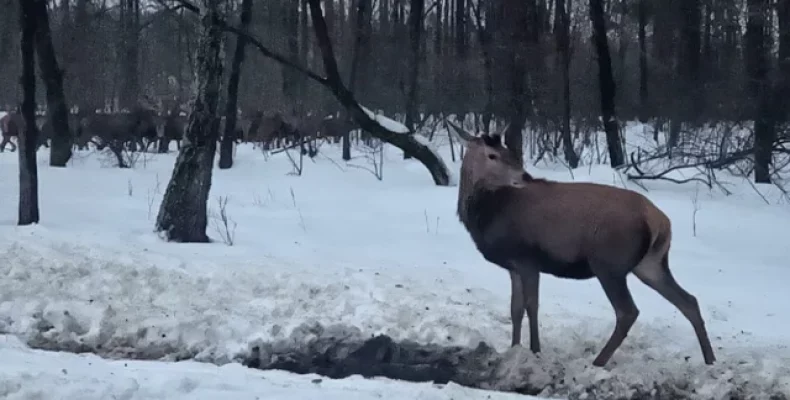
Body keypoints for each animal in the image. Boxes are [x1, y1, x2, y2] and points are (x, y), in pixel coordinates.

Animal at [448, 122, 720, 368]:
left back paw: (598, 361)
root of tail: (661, 222)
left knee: (628, 311)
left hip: (609, 262)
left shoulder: (528, 258)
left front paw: (535, 350)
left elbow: (531, 306)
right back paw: (710, 360)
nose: (524, 176)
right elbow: (515, 308)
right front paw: (514, 348)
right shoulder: (513, 265)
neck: (489, 213)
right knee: (689, 301)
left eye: (510, 153)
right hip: (650, 264)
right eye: (492, 155)